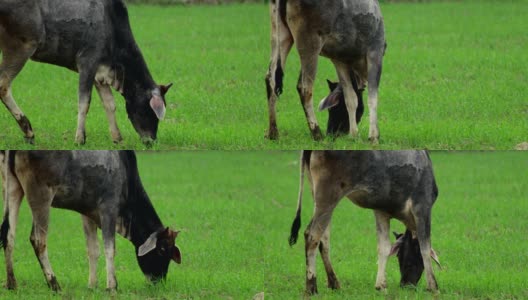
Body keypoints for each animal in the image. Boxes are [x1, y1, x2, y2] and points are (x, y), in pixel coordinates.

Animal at [0, 0, 171, 145]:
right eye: (149, 112)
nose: (151, 141)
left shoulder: (99, 74)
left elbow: (110, 104)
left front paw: (117, 138)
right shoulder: (87, 63)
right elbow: (84, 103)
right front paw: (79, 138)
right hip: (21, 46)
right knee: (4, 85)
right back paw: (28, 130)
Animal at [0, 151, 182, 292]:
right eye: (162, 249)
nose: (159, 281)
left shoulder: (87, 214)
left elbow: (93, 249)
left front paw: (92, 285)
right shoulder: (109, 209)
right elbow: (110, 249)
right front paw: (112, 285)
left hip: (13, 188)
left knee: (9, 236)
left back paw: (12, 283)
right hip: (41, 195)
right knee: (38, 240)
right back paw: (54, 283)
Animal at [266, 0, 386, 143]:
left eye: (335, 108)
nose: (331, 133)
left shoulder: (339, 60)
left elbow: (351, 98)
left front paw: (353, 134)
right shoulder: (375, 51)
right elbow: (372, 98)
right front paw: (374, 136)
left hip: (280, 36)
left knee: (270, 80)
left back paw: (273, 132)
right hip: (310, 42)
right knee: (304, 88)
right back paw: (317, 133)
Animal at [288, 151, 442, 294]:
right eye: (402, 256)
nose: (406, 285)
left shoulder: (381, 211)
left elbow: (384, 247)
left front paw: (381, 286)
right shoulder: (422, 206)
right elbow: (425, 247)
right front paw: (433, 286)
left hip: (317, 196)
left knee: (323, 241)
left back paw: (334, 283)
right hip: (328, 197)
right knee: (312, 236)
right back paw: (311, 287)